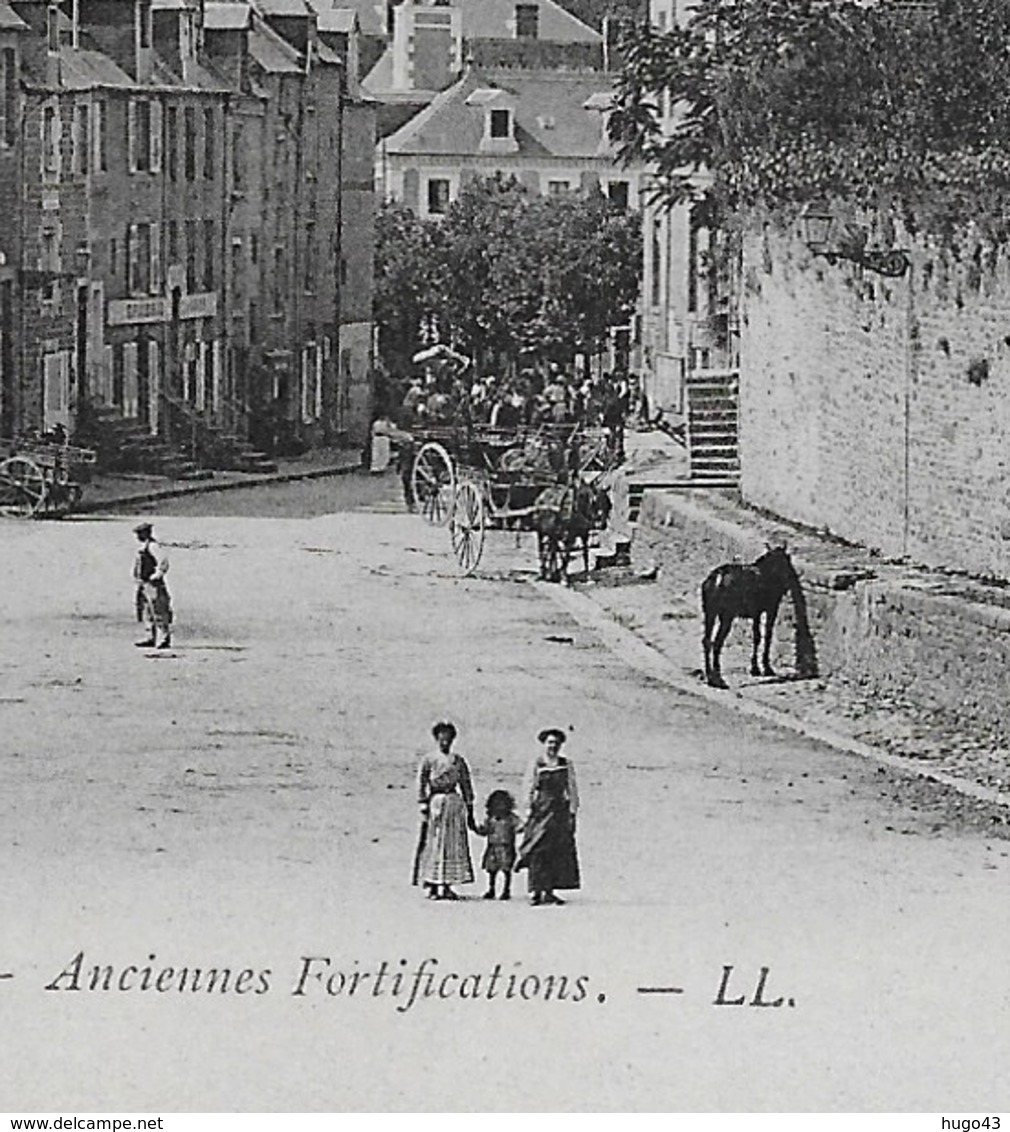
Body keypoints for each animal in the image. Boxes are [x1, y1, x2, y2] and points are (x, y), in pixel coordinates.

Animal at [702, 545, 819, 688]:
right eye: (787, 559)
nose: (792, 579)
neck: (767, 572)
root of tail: (717, 579)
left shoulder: (756, 613)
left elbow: (757, 636)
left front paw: (755, 668)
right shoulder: (771, 609)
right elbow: (767, 636)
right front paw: (766, 668)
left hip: (710, 613)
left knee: (707, 641)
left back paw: (710, 676)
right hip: (726, 616)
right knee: (717, 643)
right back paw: (718, 679)